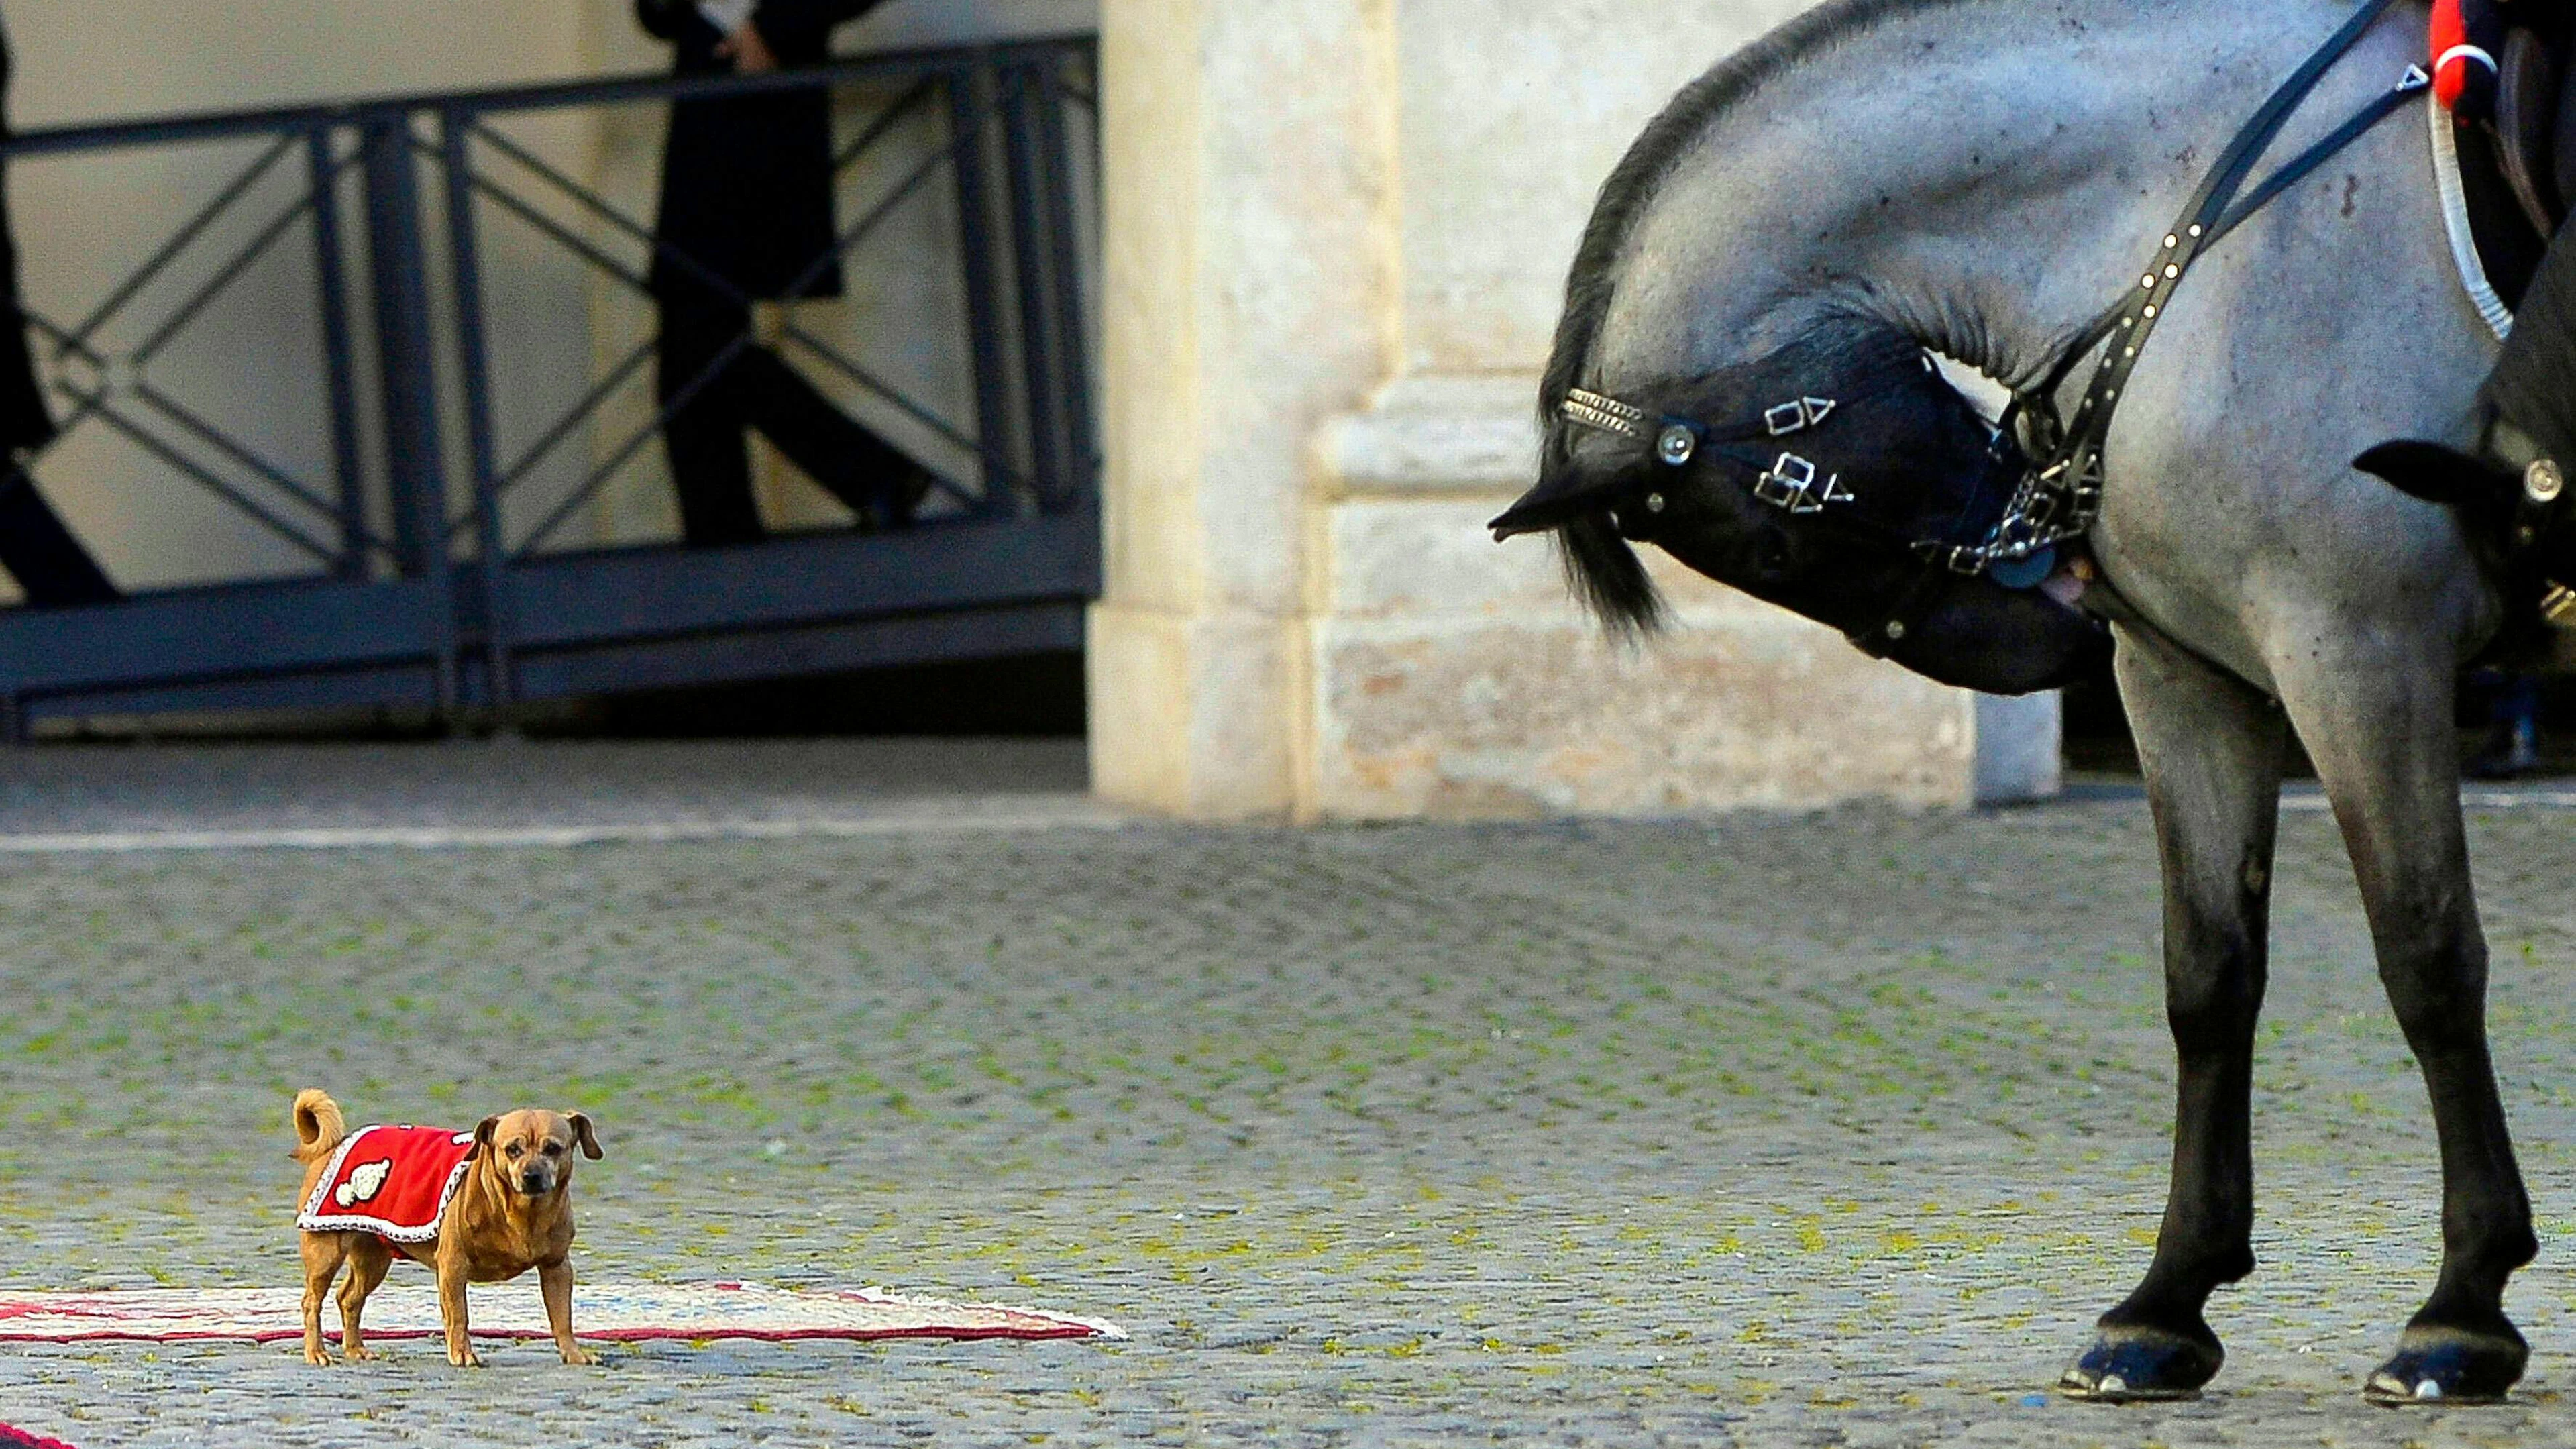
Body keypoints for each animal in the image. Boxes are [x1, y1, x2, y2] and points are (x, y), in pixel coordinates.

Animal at [1494, 0, 2539, 1406]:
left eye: (1776, 534)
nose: (2034, 646)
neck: (2191, 231)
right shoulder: (2188, 678)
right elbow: (2210, 974)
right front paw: (2169, 1299)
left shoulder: (2361, 651)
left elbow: (2426, 957)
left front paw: (2464, 1308)